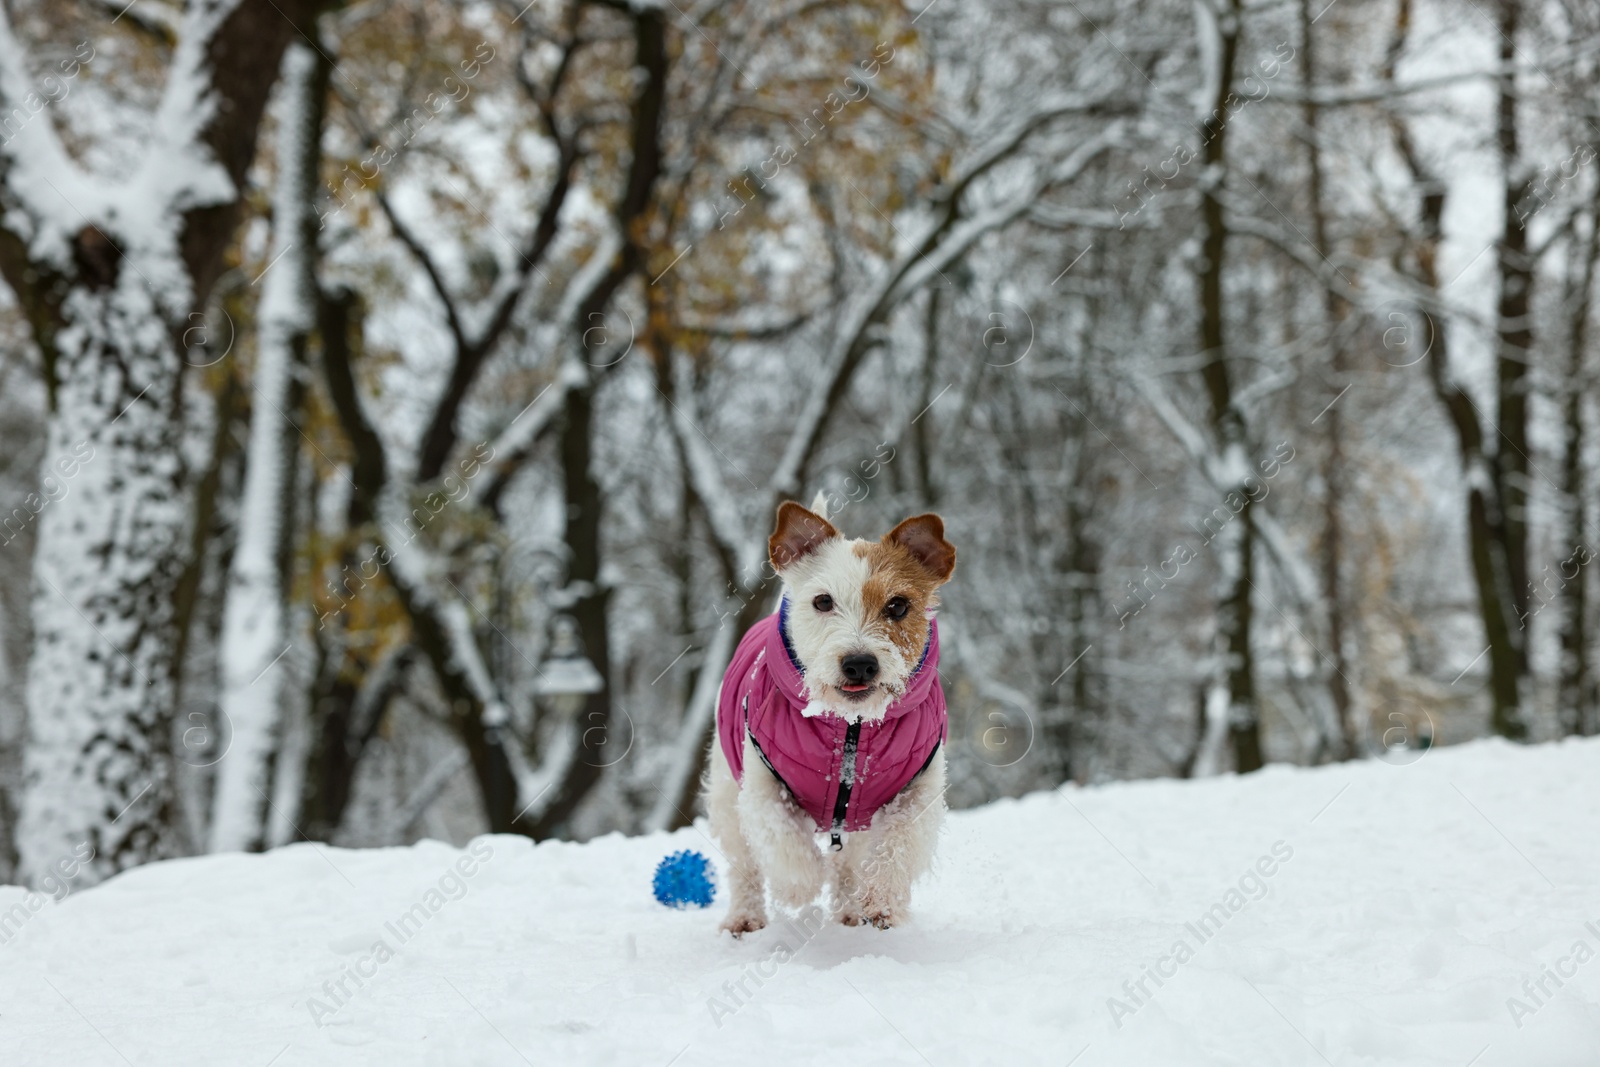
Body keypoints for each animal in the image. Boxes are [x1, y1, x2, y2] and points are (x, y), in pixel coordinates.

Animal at [707, 495, 953, 927]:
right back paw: (745, 918)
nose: (860, 663)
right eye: (823, 601)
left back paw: (850, 908)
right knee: (744, 863)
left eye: (898, 606)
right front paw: (799, 886)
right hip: (725, 791)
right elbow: (781, 835)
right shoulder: (761, 783)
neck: (851, 725)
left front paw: (881, 899)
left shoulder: (919, 789)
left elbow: (900, 842)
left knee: (849, 863)